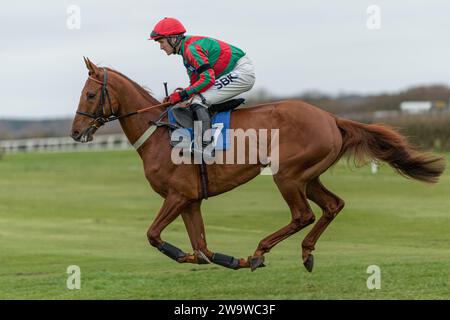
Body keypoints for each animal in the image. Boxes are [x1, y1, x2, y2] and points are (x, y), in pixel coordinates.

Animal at [71, 58, 446, 272]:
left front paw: (200, 257)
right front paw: (219, 259)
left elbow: (154, 235)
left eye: (89, 95)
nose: (75, 132)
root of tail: (331, 117)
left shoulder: (177, 196)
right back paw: (305, 253)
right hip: (308, 177)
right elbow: (201, 247)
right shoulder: (190, 200)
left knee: (303, 215)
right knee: (333, 205)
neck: (159, 131)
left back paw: (259, 252)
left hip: (288, 175)